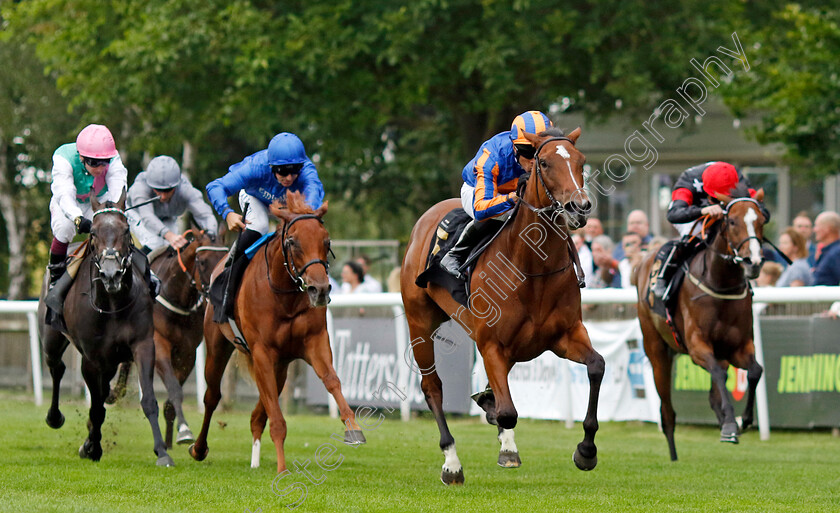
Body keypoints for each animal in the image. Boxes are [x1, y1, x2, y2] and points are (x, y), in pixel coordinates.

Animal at [37, 190, 172, 466]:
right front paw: (93, 447)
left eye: (126, 229)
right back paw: (55, 417)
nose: (111, 274)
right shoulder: (92, 358)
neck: (112, 303)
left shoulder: (143, 345)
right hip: (52, 340)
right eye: (93, 232)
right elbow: (97, 407)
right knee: (57, 368)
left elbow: (148, 399)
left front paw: (162, 452)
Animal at [107, 226, 230, 446]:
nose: (217, 293)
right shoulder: (159, 344)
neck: (176, 299)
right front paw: (184, 431)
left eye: (224, 259)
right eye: (202, 261)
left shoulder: (188, 352)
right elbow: (174, 389)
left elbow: (174, 394)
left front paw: (177, 433)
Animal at [190, 190, 364, 470]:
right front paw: (282, 469)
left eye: (326, 241)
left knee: (257, 413)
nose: (320, 289)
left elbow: (331, 380)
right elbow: (277, 418)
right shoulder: (262, 351)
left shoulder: (314, 342)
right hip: (217, 345)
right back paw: (198, 448)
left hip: (280, 367)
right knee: (212, 396)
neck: (285, 297)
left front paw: (353, 427)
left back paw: (254, 459)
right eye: (292, 241)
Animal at [400, 128, 604, 484]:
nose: (579, 207)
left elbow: (597, 366)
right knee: (432, 387)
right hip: (419, 323)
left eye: (581, 161)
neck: (533, 268)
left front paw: (586, 451)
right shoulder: (491, 342)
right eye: (545, 162)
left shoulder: (565, 336)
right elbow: (508, 411)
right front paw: (498, 431)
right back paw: (451, 462)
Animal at [636, 188, 768, 460]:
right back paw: (673, 454)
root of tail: (641, 263)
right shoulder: (698, 345)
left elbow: (755, 371)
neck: (721, 284)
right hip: (656, 350)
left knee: (713, 393)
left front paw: (743, 420)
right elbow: (717, 373)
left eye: (761, 221)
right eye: (732, 221)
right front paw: (731, 424)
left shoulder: (738, 346)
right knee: (667, 409)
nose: (753, 262)